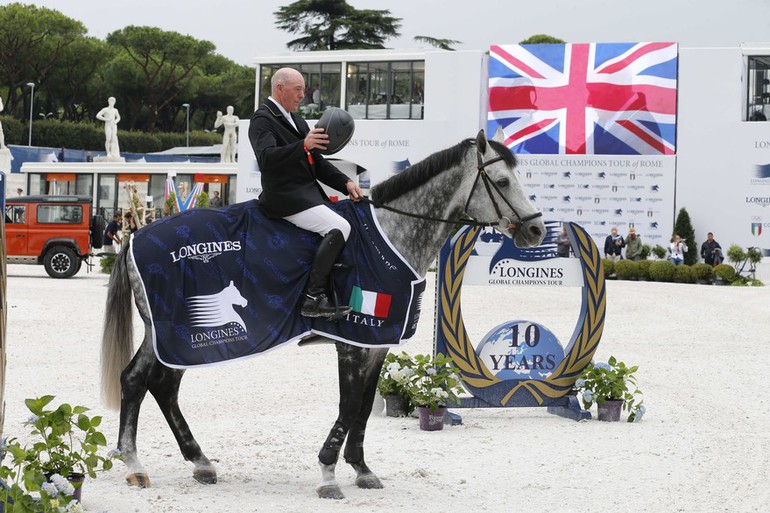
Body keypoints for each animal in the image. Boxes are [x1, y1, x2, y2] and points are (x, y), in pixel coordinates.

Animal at [102, 130, 544, 498]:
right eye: (503, 181)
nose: (536, 230)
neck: (390, 234)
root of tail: (137, 235)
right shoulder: (352, 341)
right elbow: (348, 406)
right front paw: (329, 474)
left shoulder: (377, 344)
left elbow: (363, 407)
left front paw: (362, 469)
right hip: (177, 334)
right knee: (142, 380)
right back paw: (136, 465)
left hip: (175, 340)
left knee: (156, 384)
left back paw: (198, 462)